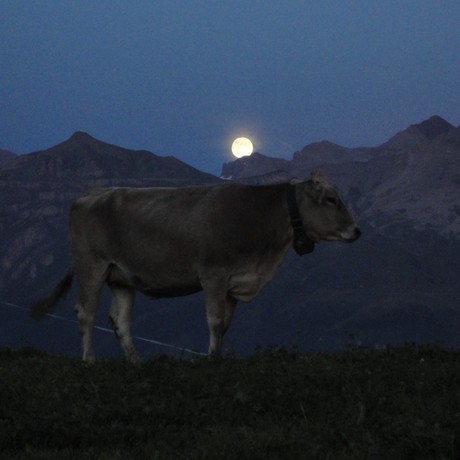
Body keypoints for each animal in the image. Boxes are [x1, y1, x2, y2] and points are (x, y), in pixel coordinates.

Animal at [30, 170, 362, 362]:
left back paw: (135, 363)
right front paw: (211, 360)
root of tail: (91, 194)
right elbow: (214, 321)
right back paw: (89, 361)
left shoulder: (234, 282)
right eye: (331, 199)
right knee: (85, 313)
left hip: (121, 276)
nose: (356, 230)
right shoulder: (213, 275)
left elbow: (225, 325)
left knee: (119, 319)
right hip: (91, 266)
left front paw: (219, 359)